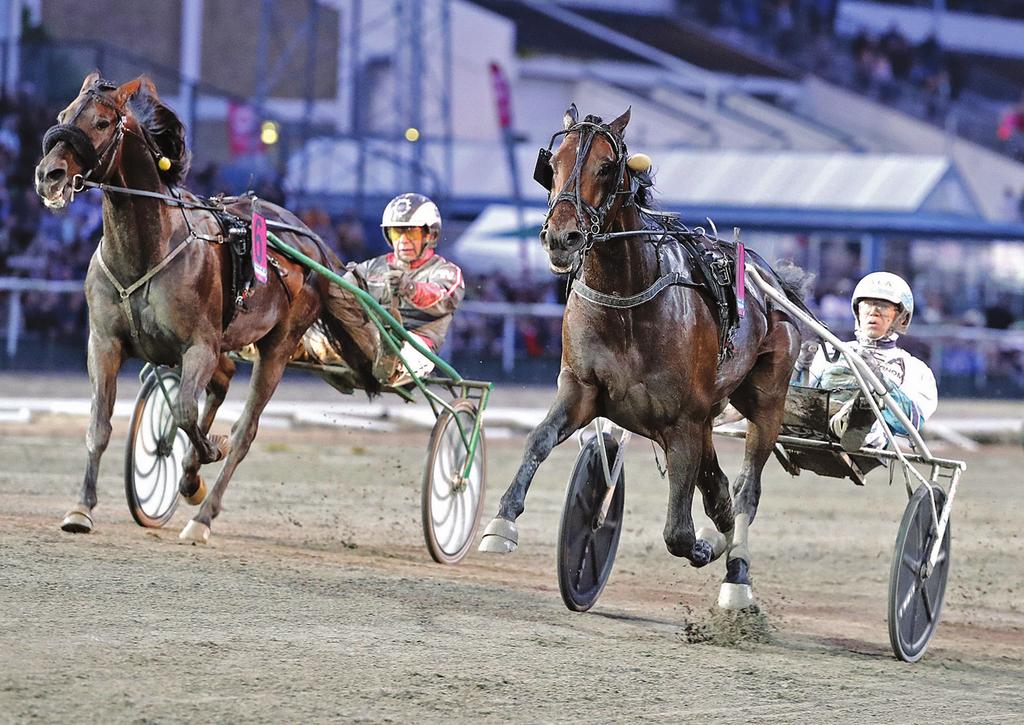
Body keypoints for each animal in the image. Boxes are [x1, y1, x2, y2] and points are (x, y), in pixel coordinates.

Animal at [32, 75, 378, 544]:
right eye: (63, 115)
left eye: (102, 122)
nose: (49, 175)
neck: (148, 250)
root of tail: (311, 242)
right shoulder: (104, 343)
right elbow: (100, 424)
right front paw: (81, 508)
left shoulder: (198, 346)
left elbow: (184, 412)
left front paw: (210, 451)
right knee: (224, 379)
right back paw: (190, 480)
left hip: (278, 345)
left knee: (245, 429)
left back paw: (203, 514)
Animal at [475, 104, 802, 610]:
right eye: (553, 164)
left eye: (607, 167)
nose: (561, 238)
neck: (626, 297)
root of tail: (773, 282)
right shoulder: (582, 390)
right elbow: (538, 440)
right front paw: (501, 524)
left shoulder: (684, 422)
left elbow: (678, 532)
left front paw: (704, 547)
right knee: (720, 490)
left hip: (765, 401)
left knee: (746, 490)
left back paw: (737, 574)